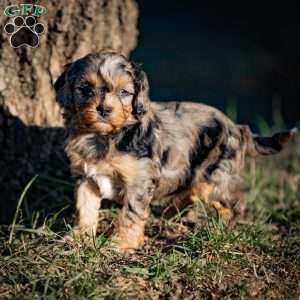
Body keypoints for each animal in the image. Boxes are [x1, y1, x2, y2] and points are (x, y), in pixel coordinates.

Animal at [54, 51, 298, 253]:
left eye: (124, 92)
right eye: (85, 88)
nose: (104, 109)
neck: (105, 136)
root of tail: (237, 127)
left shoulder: (139, 180)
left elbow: (131, 213)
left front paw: (121, 244)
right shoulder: (86, 178)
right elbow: (85, 208)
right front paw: (80, 237)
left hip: (215, 176)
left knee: (234, 204)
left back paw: (220, 230)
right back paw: (171, 213)